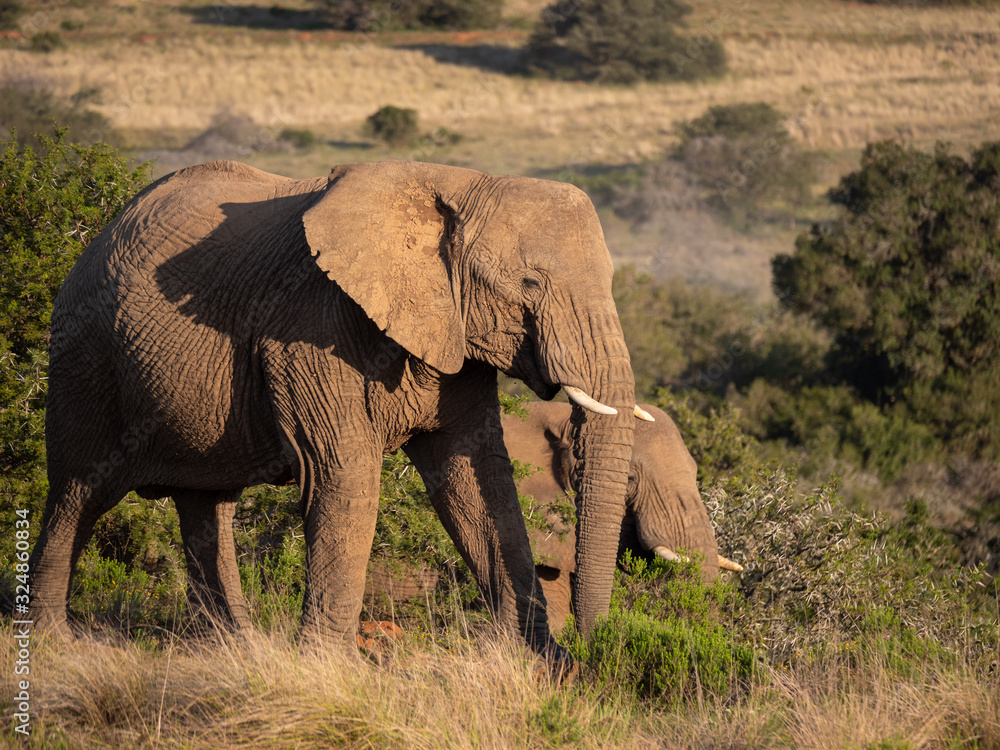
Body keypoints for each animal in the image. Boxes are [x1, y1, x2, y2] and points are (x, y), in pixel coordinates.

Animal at [31, 157, 644, 656]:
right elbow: (345, 473)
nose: (592, 644)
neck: (457, 184)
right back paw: (53, 642)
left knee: (206, 506)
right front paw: (332, 667)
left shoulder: (454, 334)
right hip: (85, 358)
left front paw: (542, 664)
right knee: (79, 492)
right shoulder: (308, 326)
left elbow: (475, 479)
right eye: (530, 283)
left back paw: (237, 649)